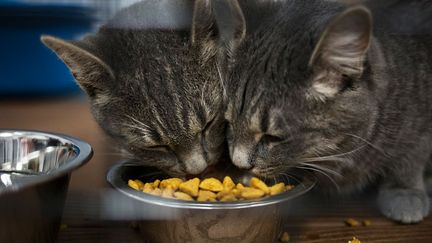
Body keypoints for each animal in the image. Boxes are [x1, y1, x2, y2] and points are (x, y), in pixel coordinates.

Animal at [214, 0, 430, 223]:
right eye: (229, 124)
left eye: (273, 137)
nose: (239, 164)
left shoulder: (421, 122)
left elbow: (411, 157)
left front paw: (405, 190)